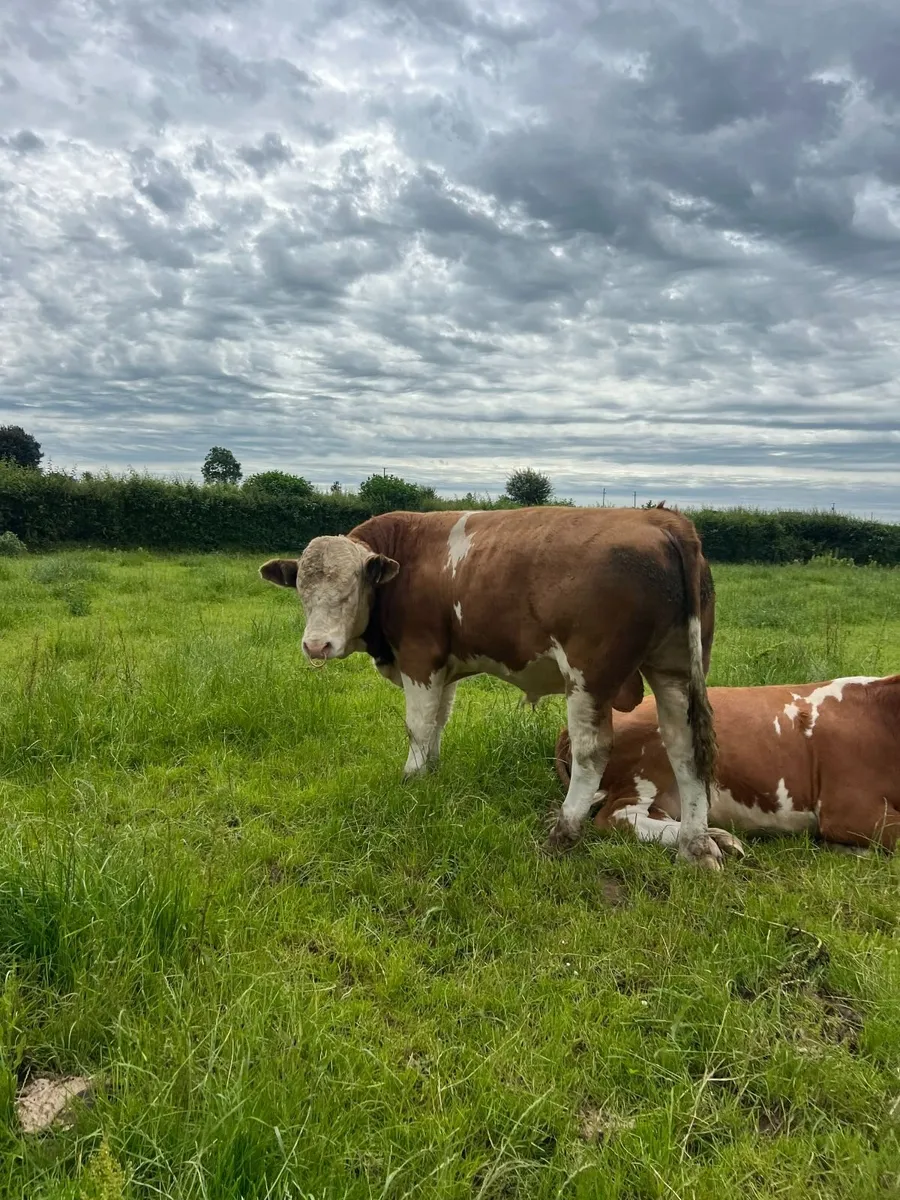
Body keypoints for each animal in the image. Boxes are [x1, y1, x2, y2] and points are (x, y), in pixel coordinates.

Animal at [260, 505, 740, 870]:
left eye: (349, 590)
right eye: (301, 591)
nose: (316, 645)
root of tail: (662, 520)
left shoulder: (419, 657)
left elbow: (418, 725)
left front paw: (410, 779)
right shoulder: (443, 666)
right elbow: (438, 722)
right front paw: (431, 774)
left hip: (590, 674)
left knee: (592, 751)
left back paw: (564, 831)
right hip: (675, 668)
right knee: (685, 749)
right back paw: (694, 845)